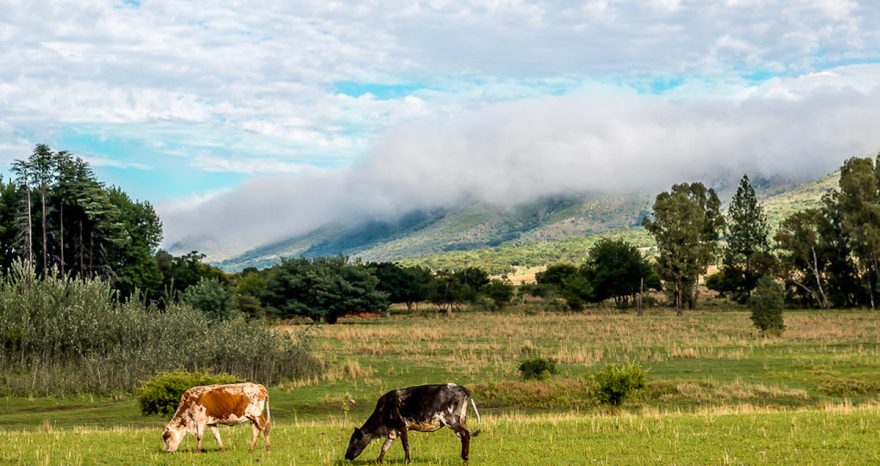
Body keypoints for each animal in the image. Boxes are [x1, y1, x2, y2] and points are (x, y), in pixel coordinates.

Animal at [344, 384, 482, 464]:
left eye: (353, 441)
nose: (346, 456)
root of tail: (462, 388)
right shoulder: (393, 432)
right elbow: (384, 447)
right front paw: (378, 461)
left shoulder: (402, 426)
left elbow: (406, 445)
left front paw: (407, 461)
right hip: (461, 419)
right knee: (464, 436)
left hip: (450, 419)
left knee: (465, 434)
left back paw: (465, 458)